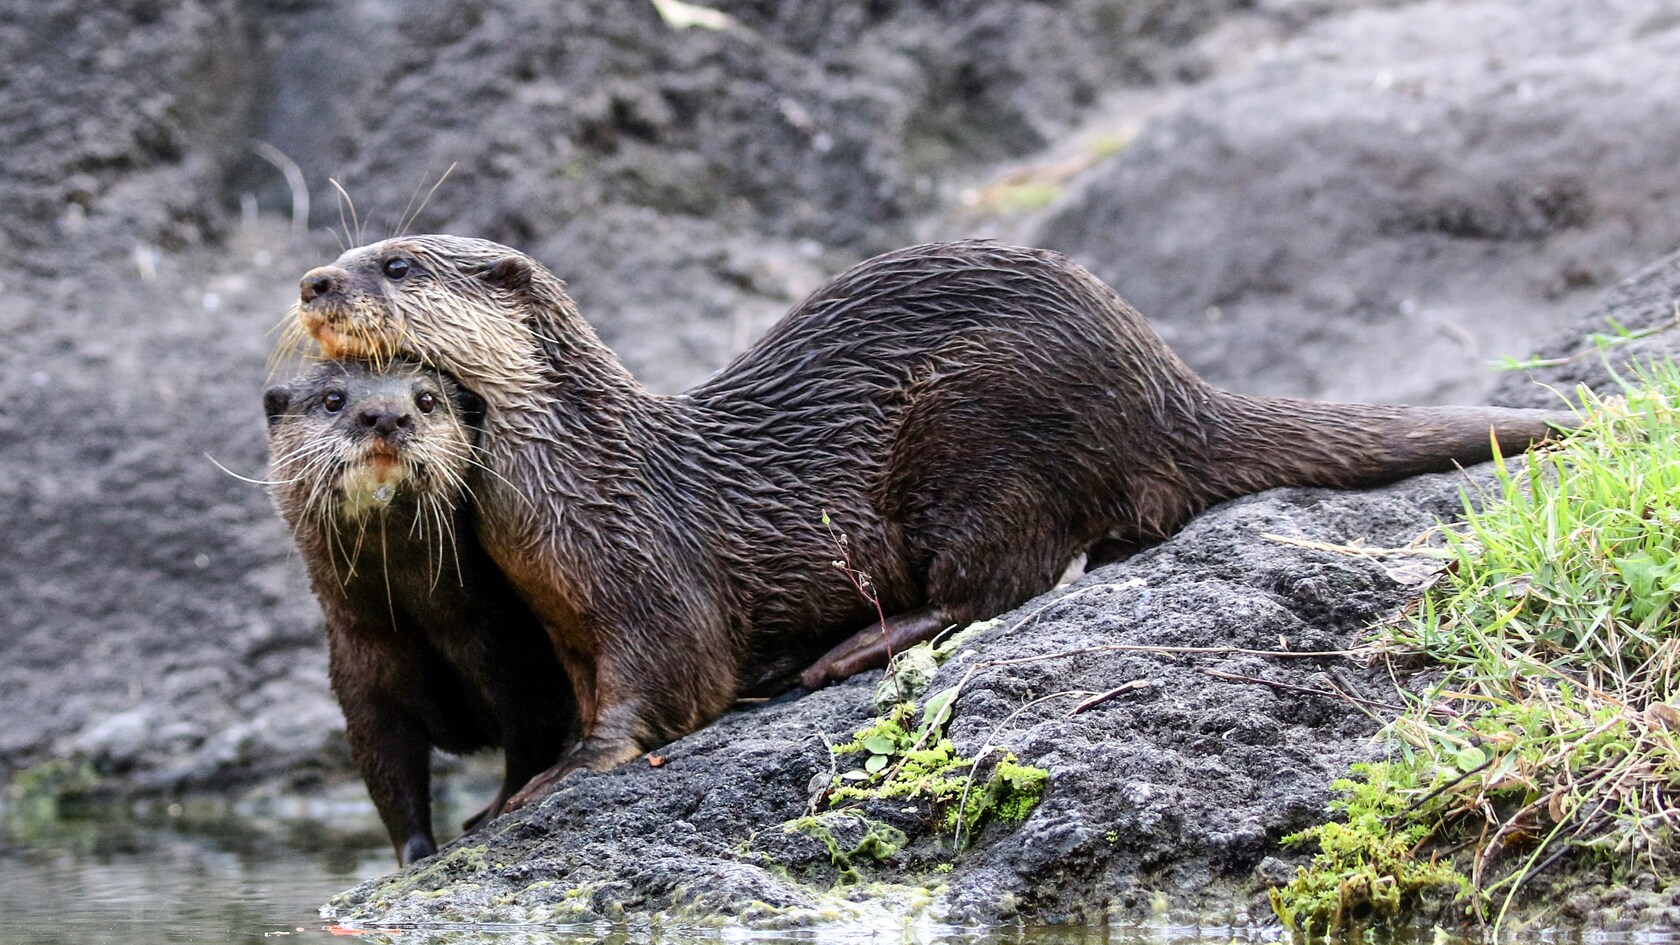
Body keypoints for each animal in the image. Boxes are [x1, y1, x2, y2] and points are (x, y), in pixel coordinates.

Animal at [262, 356, 577, 857]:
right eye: (333, 399)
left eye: (426, 399)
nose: (386, 416)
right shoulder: (361, 680)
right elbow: (389, 778)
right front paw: (415, 854)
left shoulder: (523, 665)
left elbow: (530, 747)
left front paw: (491, 816)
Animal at [292, 235, 1572, 800]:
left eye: (396, 263)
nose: (312, 283)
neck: (577, 480)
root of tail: (1164, 382)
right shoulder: (558, 620)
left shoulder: (652, 575)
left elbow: (671, 685)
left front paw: (566, 774)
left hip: (986, 430)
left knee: (1005, 578)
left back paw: (853, 646)